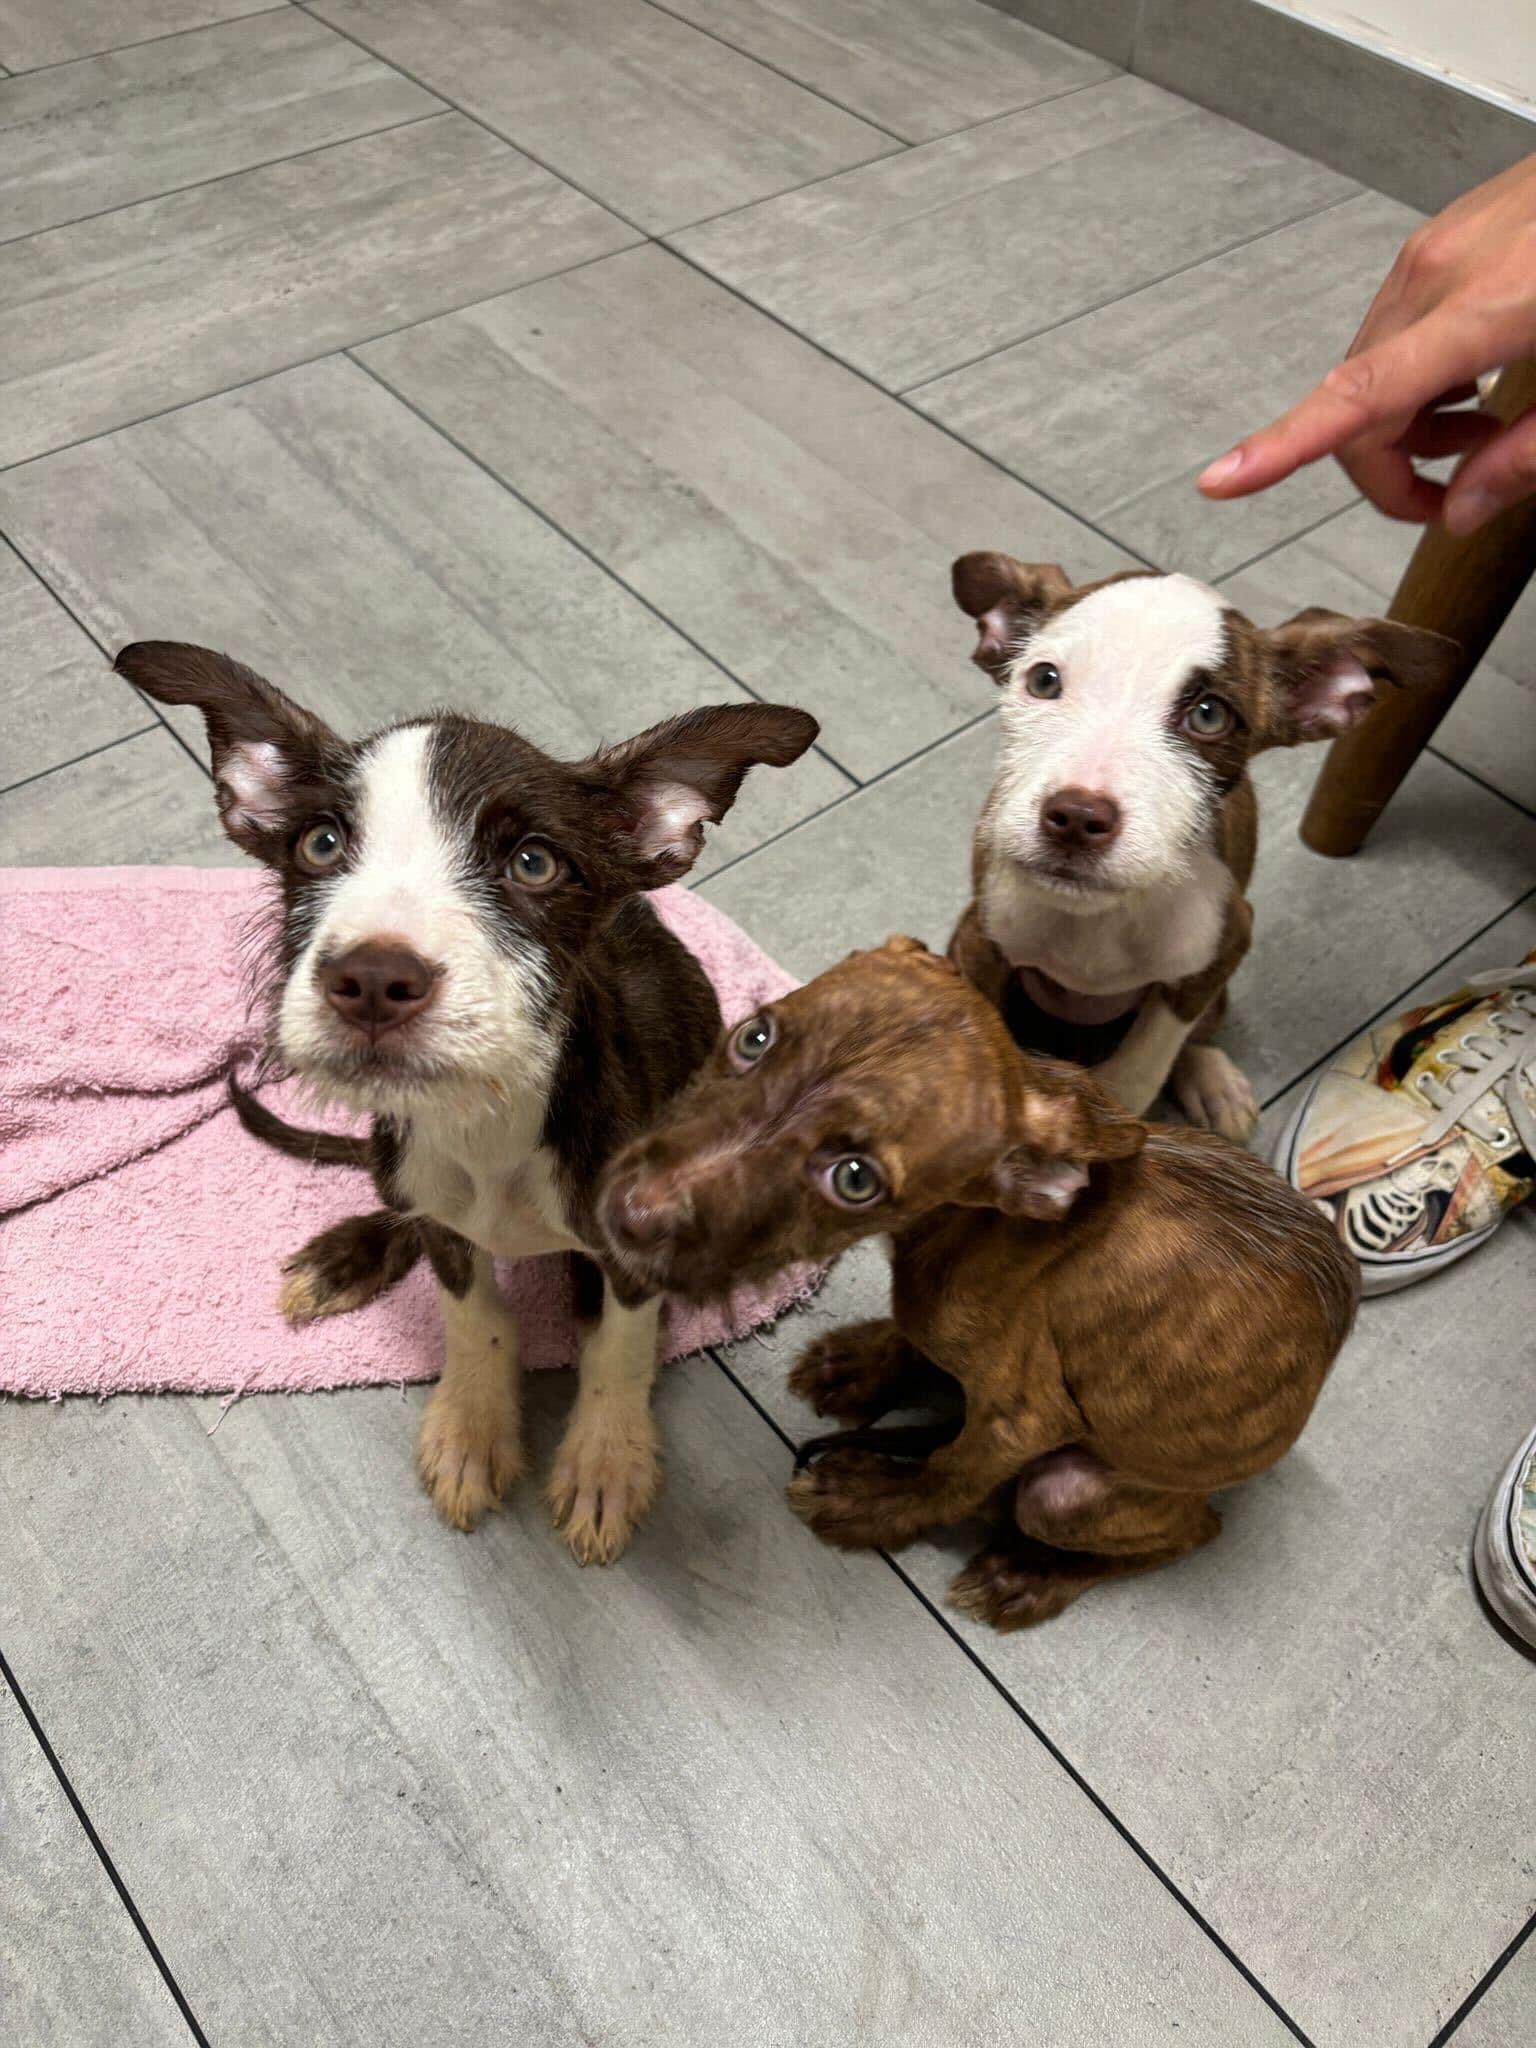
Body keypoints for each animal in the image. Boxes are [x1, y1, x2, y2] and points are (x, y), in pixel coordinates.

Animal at [115, 647, 819, 1556]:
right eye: (320, 843)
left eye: (534, 863)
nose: (373, 980)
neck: (486, 1118)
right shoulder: (444, 1213)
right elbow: (472, 1313)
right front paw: (471, 1430)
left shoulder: (627, 1248)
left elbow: (617, 1347)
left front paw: (606, 1461)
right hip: (391, 1157)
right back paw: (348, 1255)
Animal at [602, 937, 1359, 1630]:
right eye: (753, 1037)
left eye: (855, 1179)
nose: (626, 1214)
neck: (972, 1227)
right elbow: (912, 1334)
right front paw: (865, 1366)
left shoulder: (1021, 1420)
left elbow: (949, 1472)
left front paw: (876, 1503)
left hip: (1066, 1493)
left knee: (1185, 1533)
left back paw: (1029, 1575)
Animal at [946, 552, 1458, 1146]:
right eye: (1044, 680)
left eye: (1210, 715)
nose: (1075, 818)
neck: (1101, 919)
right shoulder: (982, 942)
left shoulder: (1222, 943)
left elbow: (1141, 1068)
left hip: (1220, 987)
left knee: (1198, 1034)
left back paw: (1213, 1082)